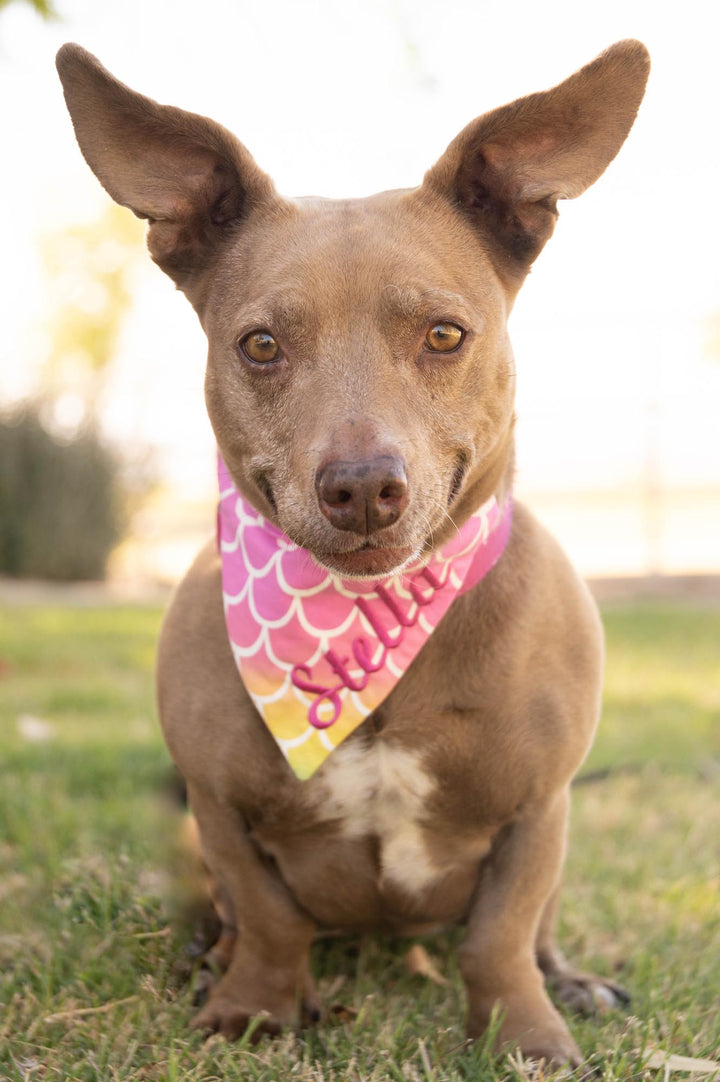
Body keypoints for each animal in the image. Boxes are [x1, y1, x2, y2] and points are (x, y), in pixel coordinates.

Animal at [56, 40, 649, 1064]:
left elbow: (501, 933)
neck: (370, 625)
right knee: (224, 914)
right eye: (260, 345)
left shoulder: (539, 811)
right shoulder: (218, 807)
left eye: (445, 333)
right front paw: (255, 1005)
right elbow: (269, 915)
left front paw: (525, 1032)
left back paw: (570, 980)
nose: (364, 486)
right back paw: (211, 961)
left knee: (536, 929)